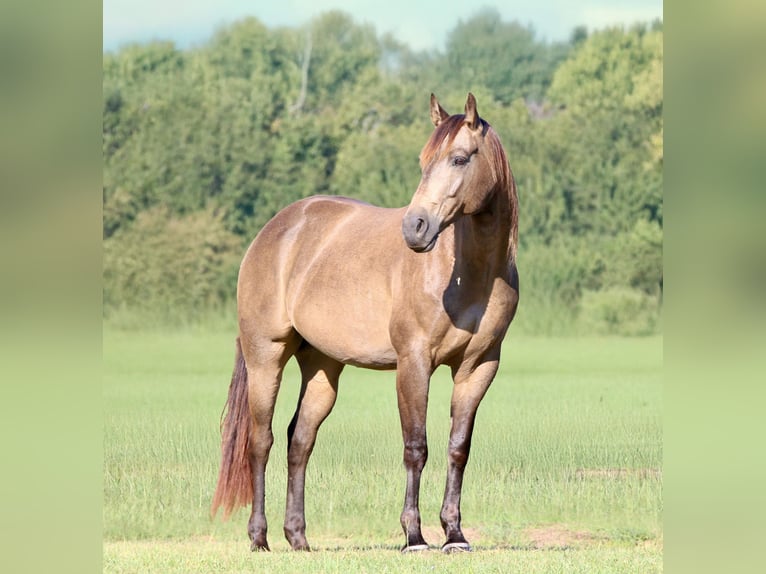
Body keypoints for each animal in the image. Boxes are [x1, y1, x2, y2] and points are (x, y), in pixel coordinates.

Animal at [211, 92, 519, 553]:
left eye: (460, 158)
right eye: (423, 160)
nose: (415, 228)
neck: (469, 271)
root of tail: (275, 229)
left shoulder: (478, 367)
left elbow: (458, 448)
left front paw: (454, 534)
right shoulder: (414, 363)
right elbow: (416, 447)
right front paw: (414, 536)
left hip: (322, 367)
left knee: (300, 441)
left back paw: (298, 537)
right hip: (265, 357)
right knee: (261, 441)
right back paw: (259, 538)